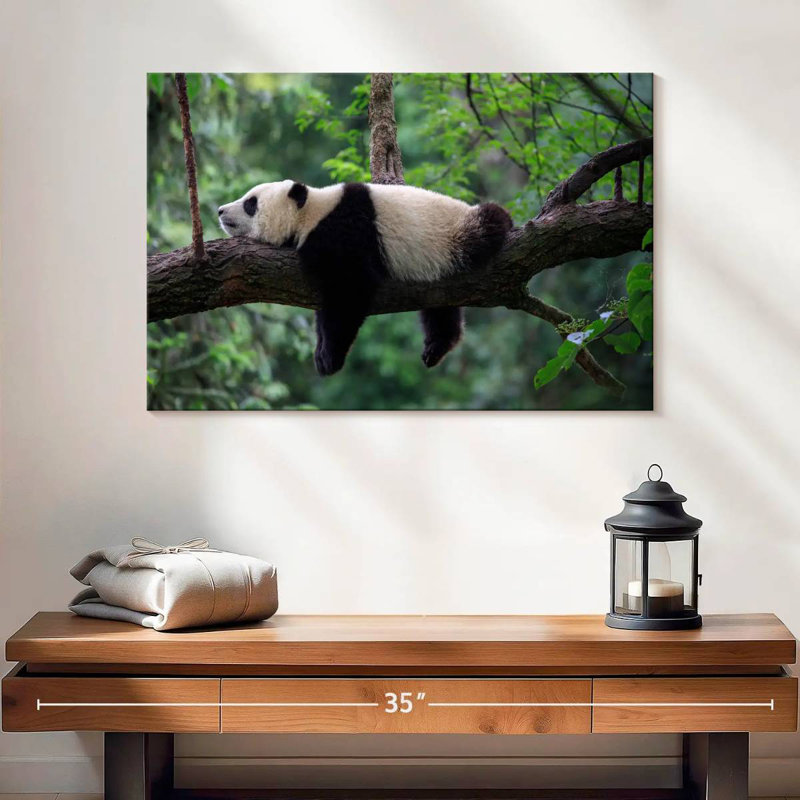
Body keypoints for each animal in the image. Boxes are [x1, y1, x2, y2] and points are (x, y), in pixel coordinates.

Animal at [218, 180, 512, 376]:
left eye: (251, 203)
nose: (220, 211)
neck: (312, 212)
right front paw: (321, 352)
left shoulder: (346, 233)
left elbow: (349, 292)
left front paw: (329, 358)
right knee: (440, 308)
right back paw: (436, 347)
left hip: (456, 233)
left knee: (489, 222)